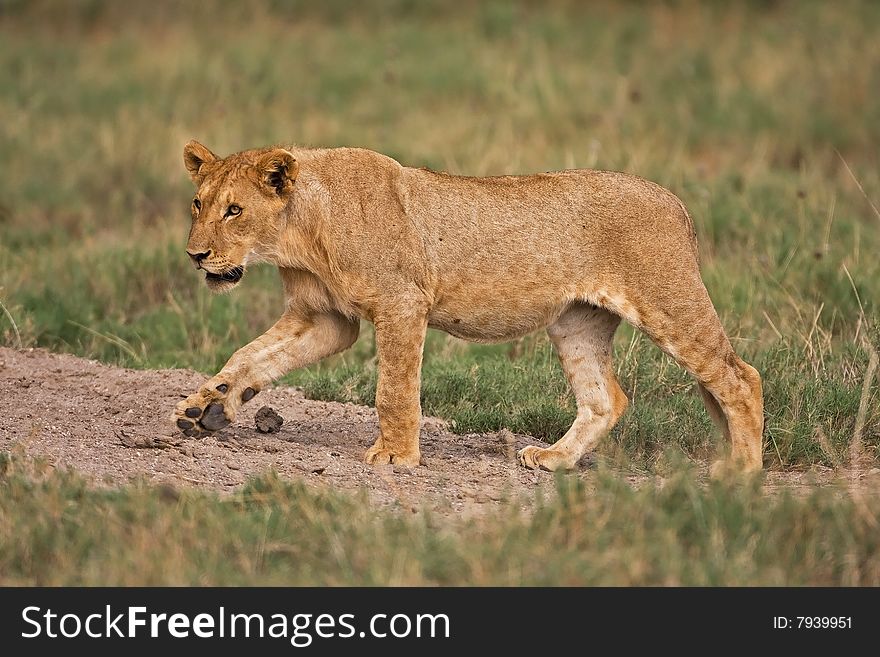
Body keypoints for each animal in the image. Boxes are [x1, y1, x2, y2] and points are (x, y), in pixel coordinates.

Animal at [172, 141, 764, 474]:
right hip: (577, 323)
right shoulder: (325, 319)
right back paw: (554, 459)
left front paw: (395, 457)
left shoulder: (402, 303)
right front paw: (204, 406)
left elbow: (394, 390)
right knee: (605, 399)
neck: (299, 233)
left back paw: (741, 473)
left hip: (669, 302)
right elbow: (251, 356)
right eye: (198, 204)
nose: (196, 256)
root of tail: (676, 201)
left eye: (234, 211)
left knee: (741, 377)